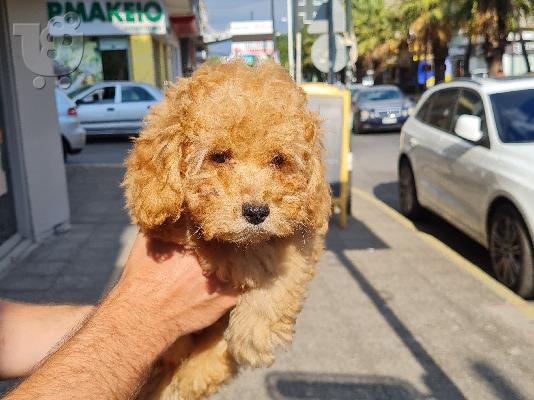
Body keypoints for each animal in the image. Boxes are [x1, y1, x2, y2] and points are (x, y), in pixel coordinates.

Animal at [124, 60, 330, 400]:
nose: (257, 212)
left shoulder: (302, 239)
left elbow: (282, 266)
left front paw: (252, 332)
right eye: (218, 157)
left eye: (279, 160)